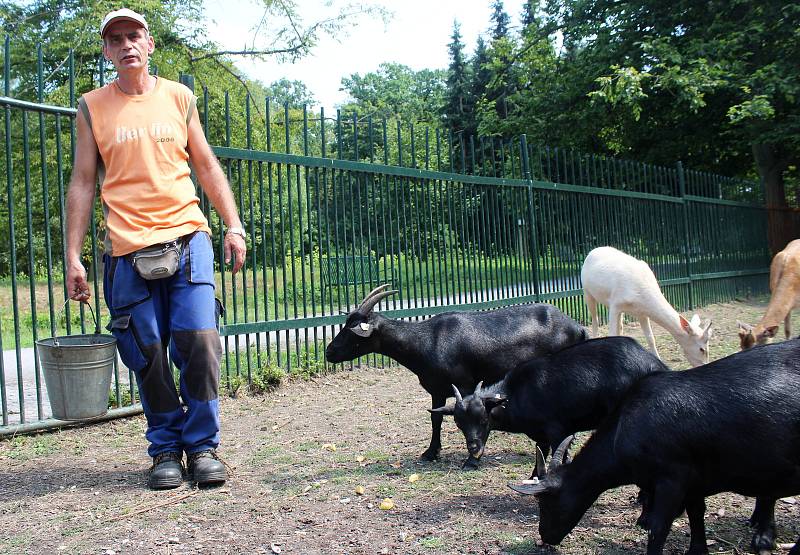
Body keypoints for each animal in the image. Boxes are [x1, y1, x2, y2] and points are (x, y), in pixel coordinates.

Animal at [324, 284, 588, 472]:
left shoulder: (466, 385)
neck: (426, 340)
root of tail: (578, 328)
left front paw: (472, 460)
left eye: (352, 330)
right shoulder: (437, 389)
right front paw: (431, 453)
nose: (329, 352)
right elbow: (436, 419)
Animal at [432, 336, 668, 480]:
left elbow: (560, 455)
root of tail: (656, 364)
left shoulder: (557, 430)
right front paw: (534, 477)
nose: (473, 448)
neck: (517, 393)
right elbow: (541, 454)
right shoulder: (540, 435)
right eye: (459, 423)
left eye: (483, 419)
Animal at [512, 338, 800, 555]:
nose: (545, 536)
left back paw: (764, 538)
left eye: (546, 501)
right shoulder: (693, 481)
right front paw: (697, 550)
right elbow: (696, 514)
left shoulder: (671, 480)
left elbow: (659, 528)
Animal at [580, 245, 712, 368]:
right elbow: (611, 333)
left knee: (620, 325)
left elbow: (650, 338)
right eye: (702, 349)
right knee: (595, 320)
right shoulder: (615, 304)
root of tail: (593, 251)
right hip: (587, 292)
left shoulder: (641, 313)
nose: (703, 365)